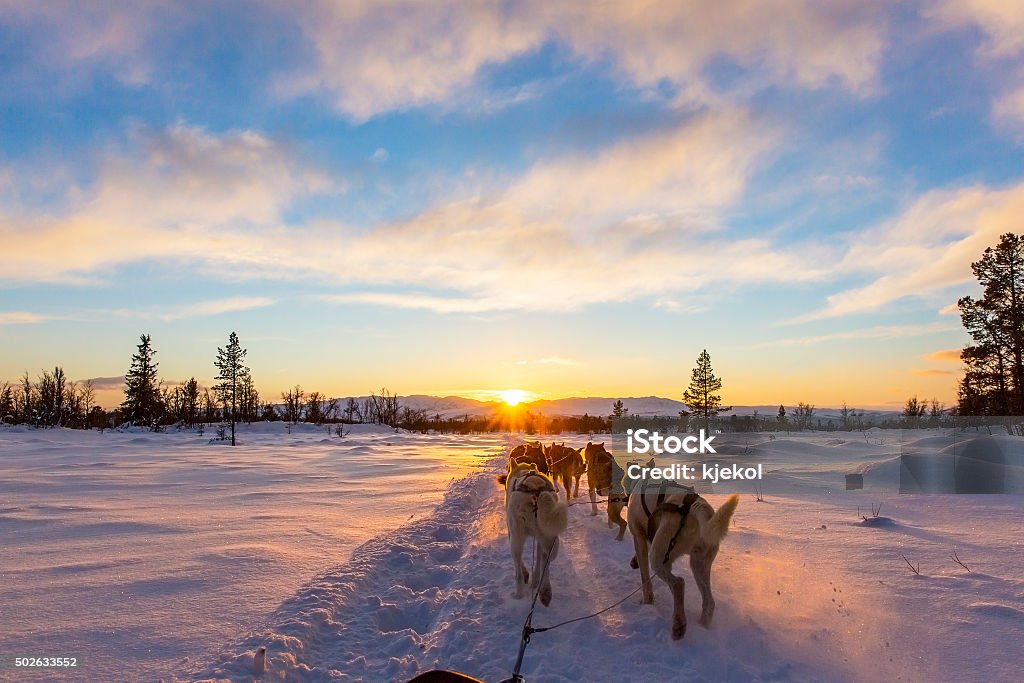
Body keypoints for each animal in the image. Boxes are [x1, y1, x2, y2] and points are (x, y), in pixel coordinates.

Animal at [501, 462, 569, 606]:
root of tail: (537, 493)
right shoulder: (539, 540)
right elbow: (538, 561)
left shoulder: (511, 533)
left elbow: (522, 567)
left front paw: (527, 575)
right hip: (548, 536)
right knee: (545, 561)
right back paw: (544, 590)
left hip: (517, 538)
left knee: (518, 572)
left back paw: (518, 595)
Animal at [626, 481, 741, 643]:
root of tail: (697, 507)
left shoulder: (639, 537)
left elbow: (645, 579)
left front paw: (647, 602)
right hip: (698, 563)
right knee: (709, 601)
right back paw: (702, 626)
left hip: (658, 558)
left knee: (678, 583)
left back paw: (678, 625)